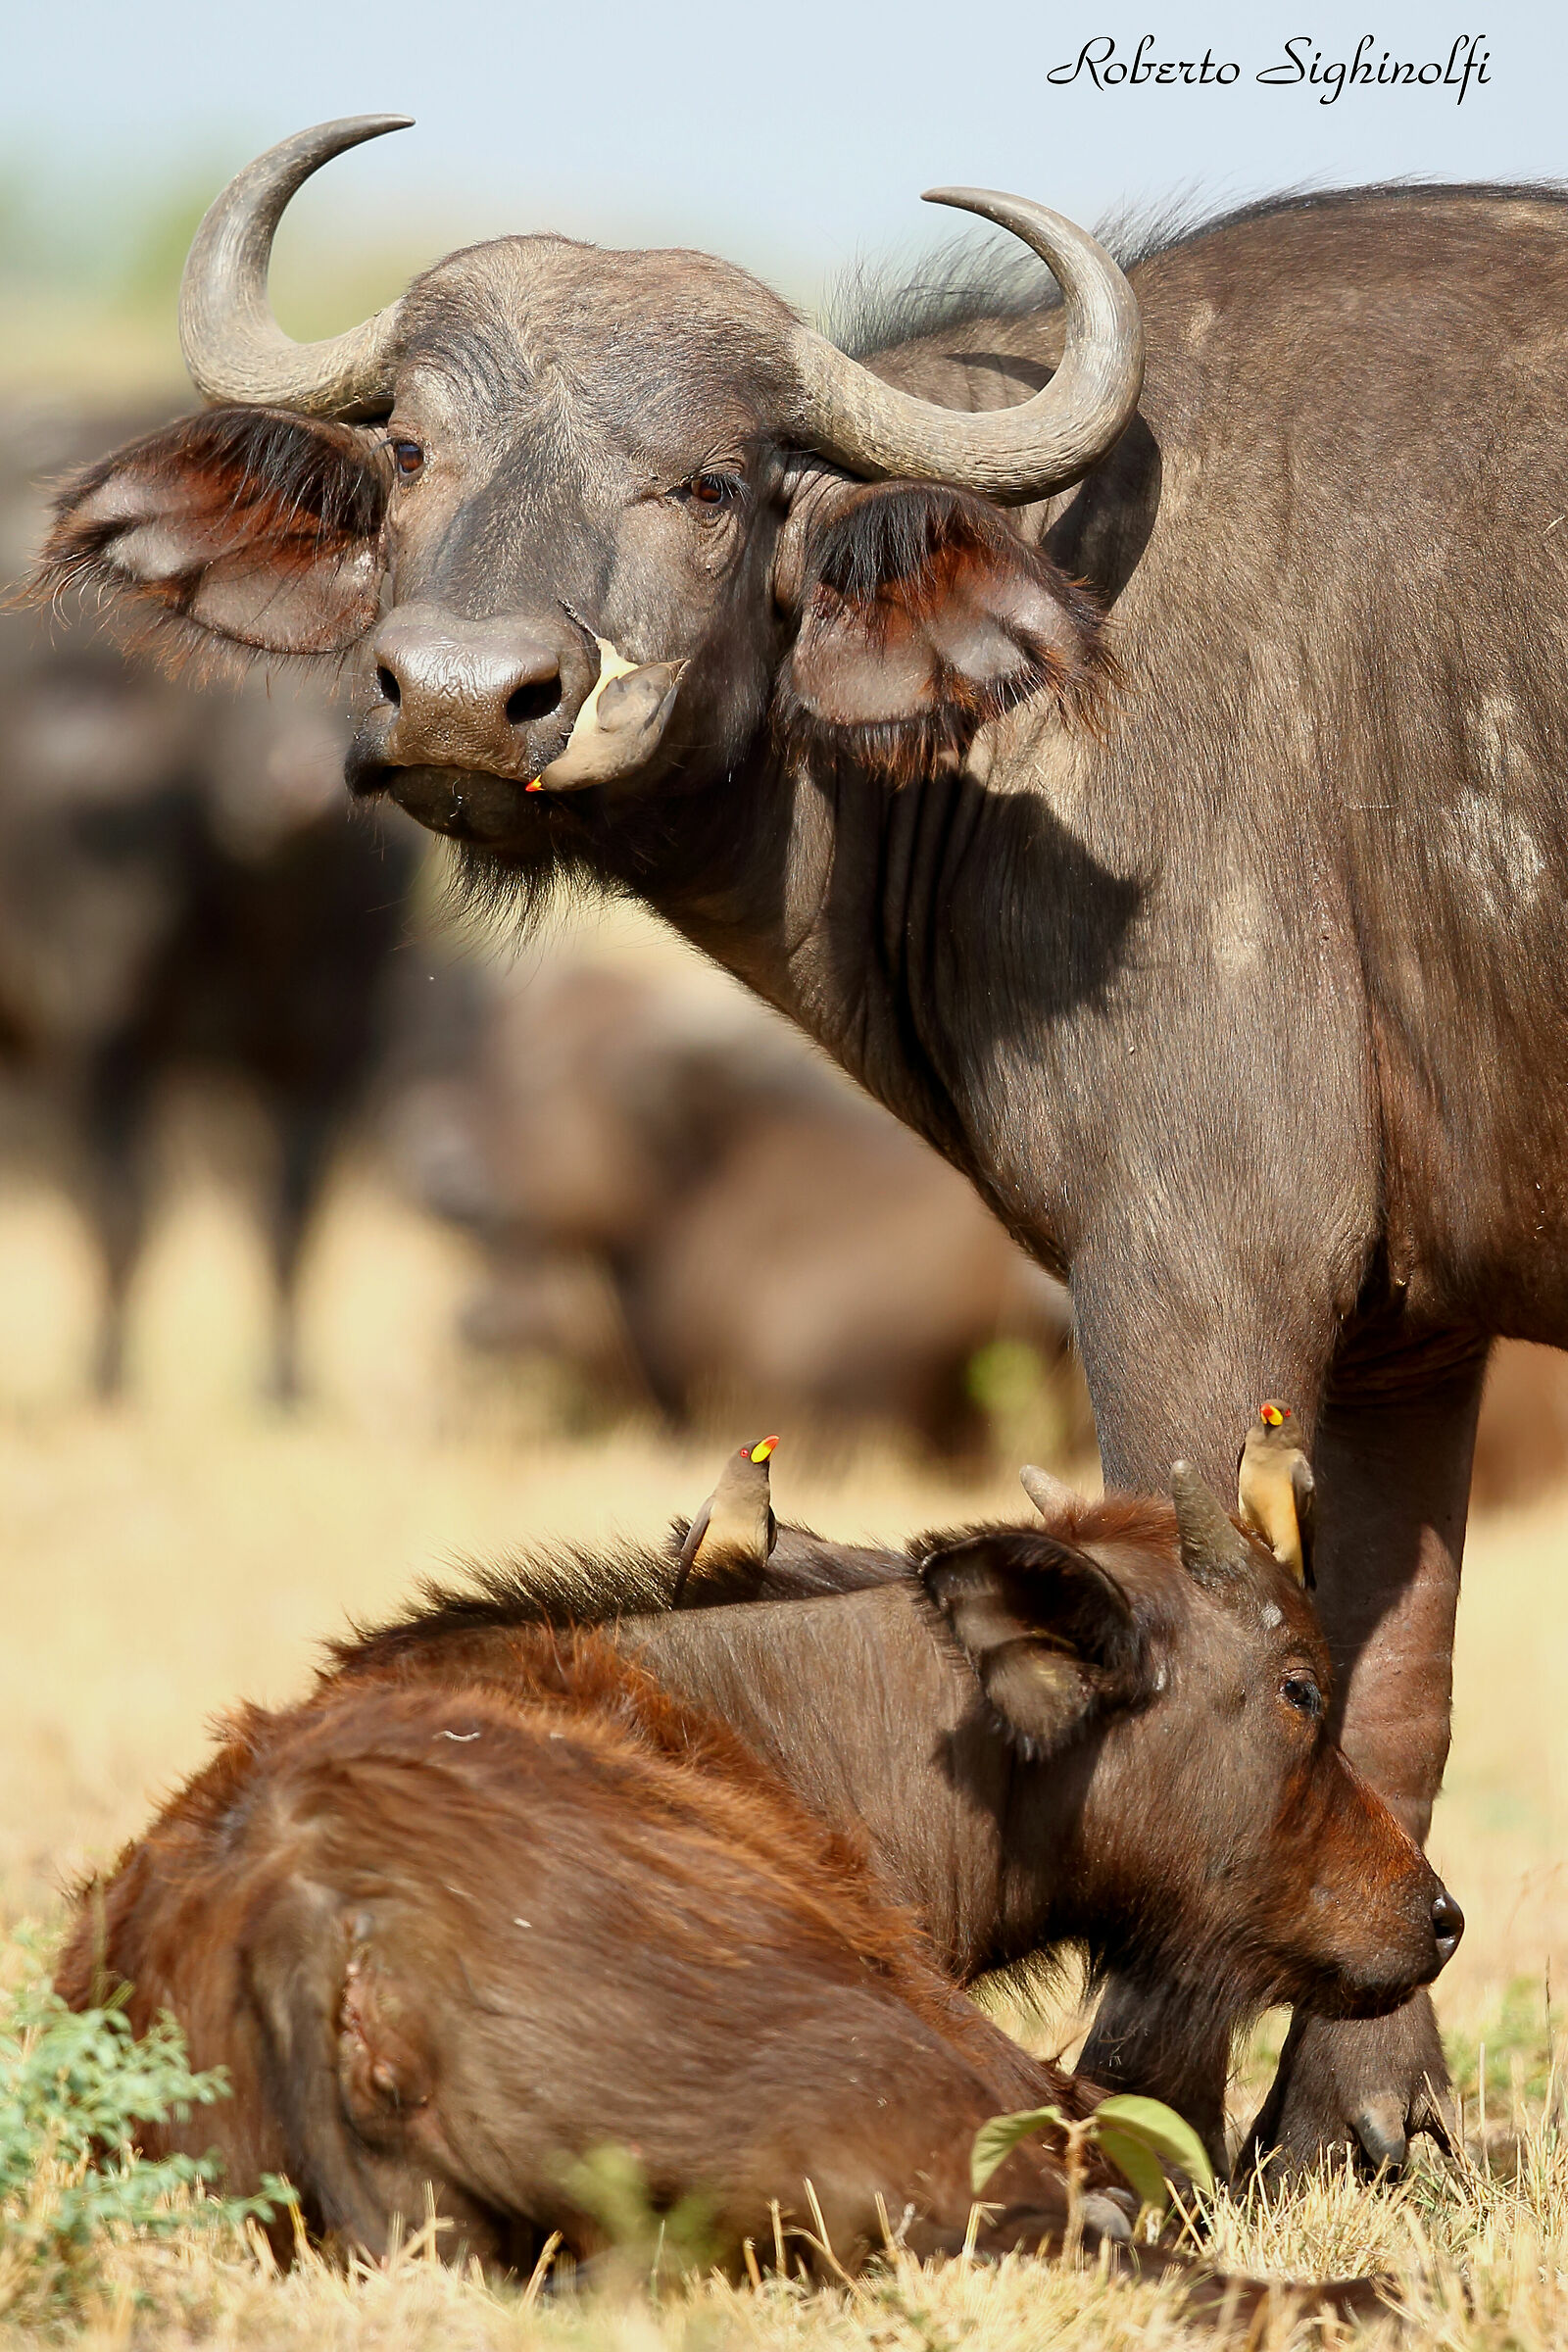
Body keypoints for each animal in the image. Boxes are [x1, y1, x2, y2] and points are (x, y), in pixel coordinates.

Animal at [36, 119, 1558, 2162]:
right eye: (417, 450)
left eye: (710, 482)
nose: (466, 699)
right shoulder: (1406, 1326)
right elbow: (1391, 1695)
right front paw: (1360, 2134)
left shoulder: (1198, 1268)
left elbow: (1218, 1647)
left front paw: (1153, 2108)